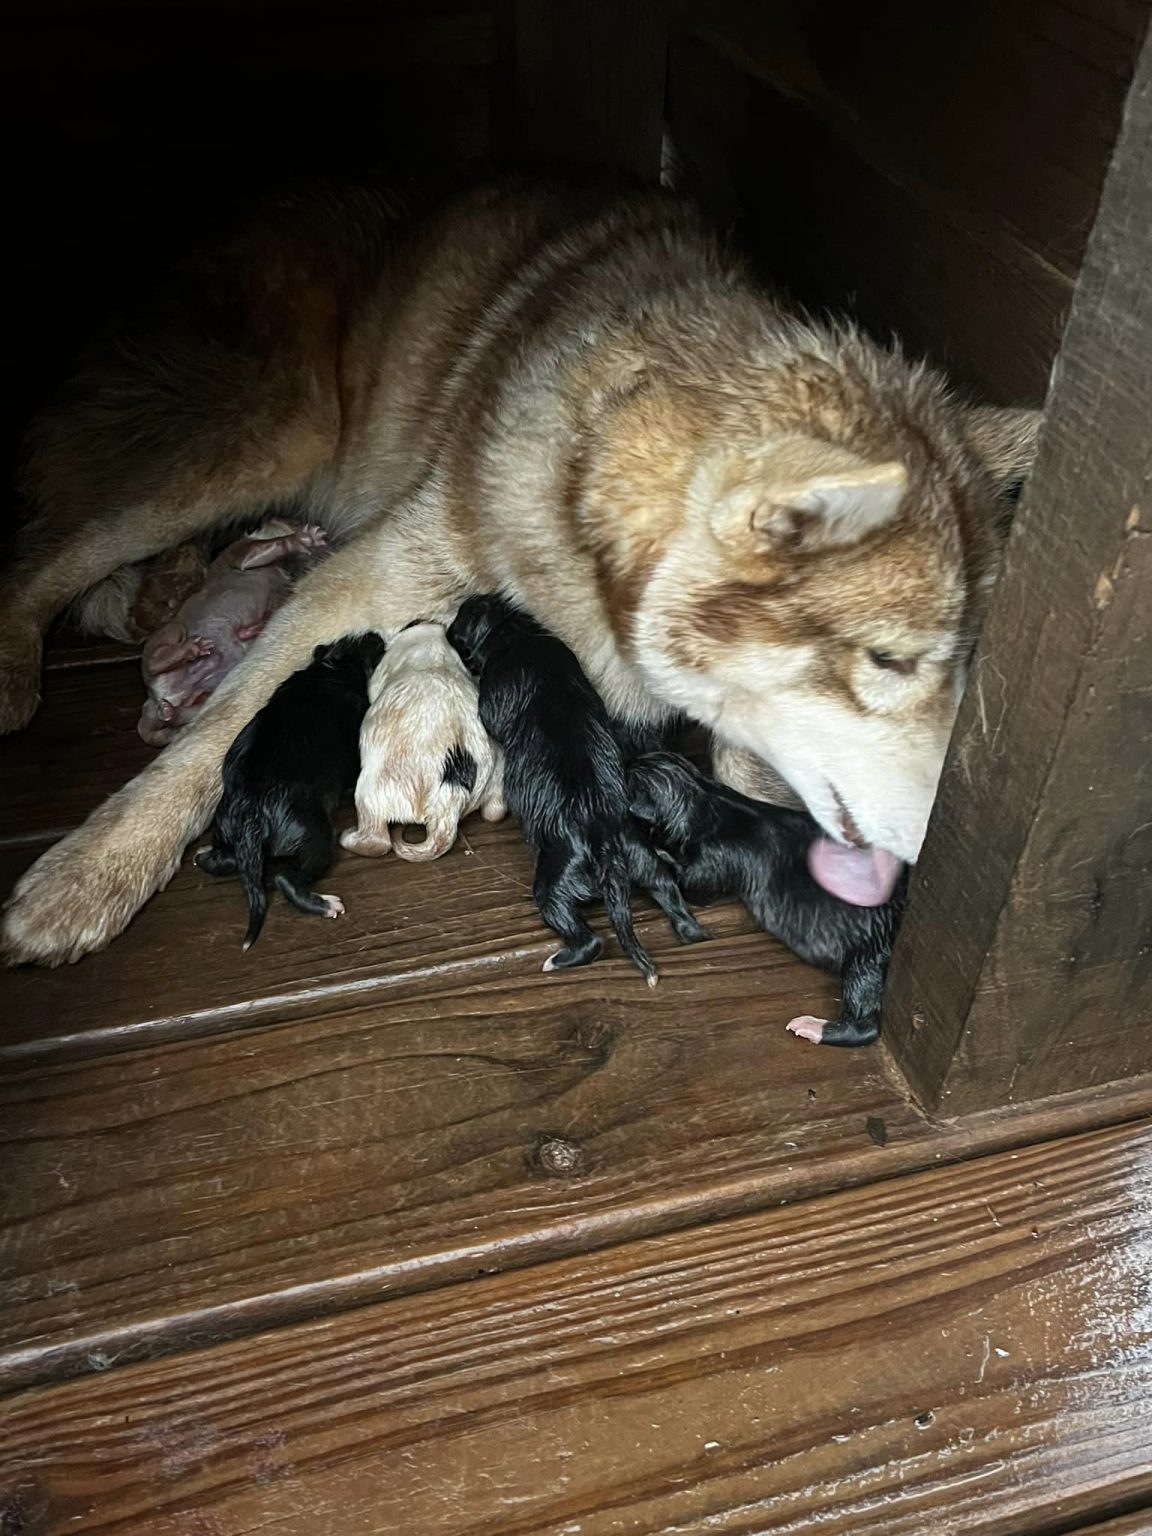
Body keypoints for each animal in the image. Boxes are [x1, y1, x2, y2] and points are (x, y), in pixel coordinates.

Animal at [142, 522, 328, 749]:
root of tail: (153, 701)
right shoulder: (243, 554)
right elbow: (274, 544)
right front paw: (305, 538)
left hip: (203, 698)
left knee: (181, 714)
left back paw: (172, 711)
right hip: (173, 631)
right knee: (155, 662)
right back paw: (190, 649)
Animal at [194, 629, 384, 940]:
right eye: (366, 646)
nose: (375, 634)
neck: (326, 672)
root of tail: (249, 814)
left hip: (224, 824)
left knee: (228, 861)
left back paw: (203, 855)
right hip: (313, 836)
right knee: (286, 877)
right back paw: (326, 905)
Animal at [340, 623, 506, 866]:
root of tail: (451, 796)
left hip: (369, 792)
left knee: (378, 840)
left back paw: (348, 837)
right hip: (498, 778)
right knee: (495, 812)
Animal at [445, 592, 709, 989]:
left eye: (460, 620)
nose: (444, 630)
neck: (516, 632)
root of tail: (606, 849)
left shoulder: (493, 693)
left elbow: (488, 713)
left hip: (554, 883)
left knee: (588, 938)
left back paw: (558, 960)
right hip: (644, 859)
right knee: (670, 893)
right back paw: (692, 933)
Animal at [626, 746, 909, 1038]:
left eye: (627, 777)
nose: (627, 761)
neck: (707, 798)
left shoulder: (714, 860)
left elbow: (694, 887)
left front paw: (662, 852)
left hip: (866, 957)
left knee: (864, 1021)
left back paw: (813, 1027)